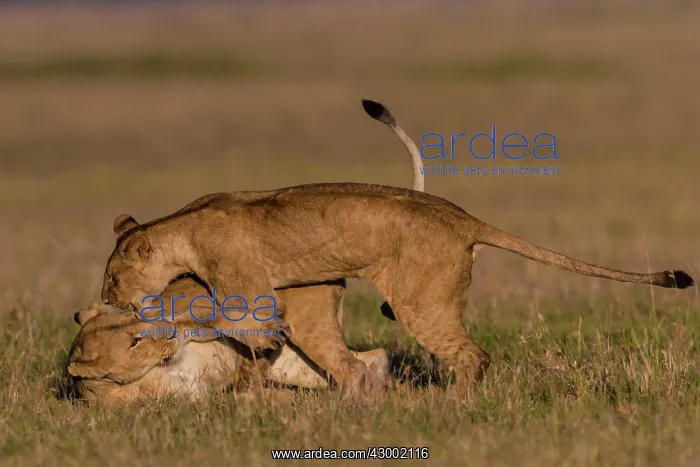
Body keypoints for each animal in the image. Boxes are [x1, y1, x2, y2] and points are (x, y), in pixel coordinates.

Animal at [67, 277, 391, 406]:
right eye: (135, 342)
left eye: (135, 315)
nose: (168, 331)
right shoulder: (197, 401)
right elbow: (238, 399)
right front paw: (282, 400)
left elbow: (209, 318)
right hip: (294, 364)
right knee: (372, 358)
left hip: (309, 332)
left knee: (357, 364)